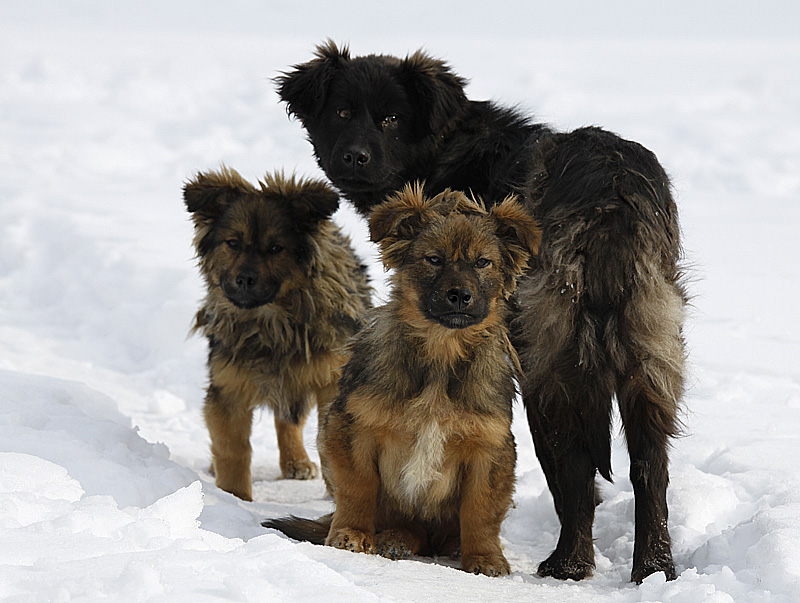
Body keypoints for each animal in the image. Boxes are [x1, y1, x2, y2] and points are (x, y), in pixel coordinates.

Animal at [184, 168, 372, 502]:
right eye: (232, 243)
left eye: (275, 249)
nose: (244, 279)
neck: (271, 321)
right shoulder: (229, 384)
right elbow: (233, 450)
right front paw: (234, 499)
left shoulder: (331, 378)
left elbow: (329, 443)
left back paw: (297, 462)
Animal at [266, 186, 540, 580]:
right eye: (434, 260)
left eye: (483, 263)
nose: (460, 296)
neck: (440, 353)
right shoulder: (352, 425)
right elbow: (358, 487)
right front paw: (351, 533)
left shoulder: (490, 446)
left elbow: (481, 509)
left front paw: (485, 557)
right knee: (404, 524)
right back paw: (394, 538)